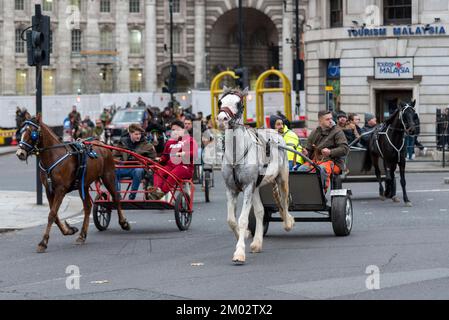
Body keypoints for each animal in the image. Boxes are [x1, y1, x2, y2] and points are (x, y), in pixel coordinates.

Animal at [15, 115, 128, 252]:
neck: (53, 155)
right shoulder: (49, 189)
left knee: (116, 197)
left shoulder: (61, 190)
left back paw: (123, 222)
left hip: (108, 175)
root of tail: (101, 143)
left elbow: (52, 214)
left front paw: (43, 242)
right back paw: (82, 235)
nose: (20, 153)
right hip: (83, 184)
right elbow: (55, 214)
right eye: (21, 132)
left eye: (33, 133)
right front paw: (68, 230)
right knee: (88, 207)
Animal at [216, 86, 294, 264]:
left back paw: (288, 222)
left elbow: (243, 220)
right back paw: (257, 243)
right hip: (256, 188)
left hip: (281, 179)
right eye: (220, 102)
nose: (222, 119)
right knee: (260, 212)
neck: (236, 154)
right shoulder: (232, 189)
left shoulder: (247, 187)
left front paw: (239, 252)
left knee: (284, 201)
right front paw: (243, 236)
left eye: (239, 104)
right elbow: (231, 220)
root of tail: (276, 133)